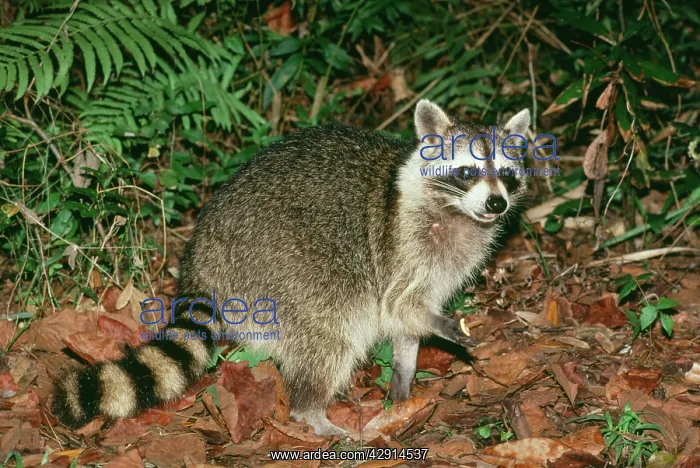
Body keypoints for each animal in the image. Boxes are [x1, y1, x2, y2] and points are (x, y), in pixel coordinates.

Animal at [53, 100, 530, 436]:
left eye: (507, 175)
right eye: (466, 172)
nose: (496, 204)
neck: (457, 214)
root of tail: (204, 252)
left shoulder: (447, 261)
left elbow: (407, 319)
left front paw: (404, 369)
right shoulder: (401, 243)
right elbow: (397, 304)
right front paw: (440, 327)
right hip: (284, 264)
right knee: (332, 329)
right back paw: (311, 410)